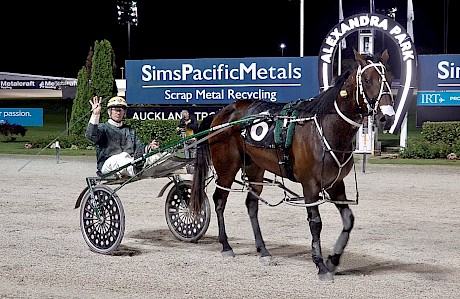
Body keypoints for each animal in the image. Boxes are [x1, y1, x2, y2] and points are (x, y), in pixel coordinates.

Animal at [190, 49, 396, 282]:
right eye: (368, 79)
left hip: (254, 167)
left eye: (390, 78)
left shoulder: (335, 184)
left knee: (251, 204)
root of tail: (222, 112)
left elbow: (348, 220)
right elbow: (316, 222)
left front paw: (333, 260)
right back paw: (226, 245)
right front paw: (320, 265)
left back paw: (263, 250)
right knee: (219, 200)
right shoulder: (310, 185)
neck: (325, 127)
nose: (387, 117)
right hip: (227, 167)